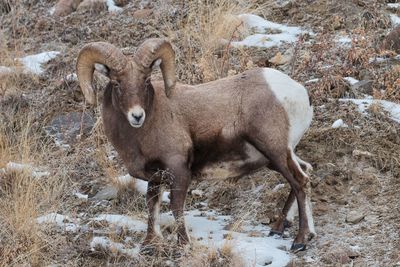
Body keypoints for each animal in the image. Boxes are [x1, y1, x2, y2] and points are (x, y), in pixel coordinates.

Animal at [77, 38, 316, 252]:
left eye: (145, 81)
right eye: (117, 83)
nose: (137, 116)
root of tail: (300, 93)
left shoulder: (179, 171)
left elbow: (176, 207)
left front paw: (183, 245)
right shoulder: (155, 178)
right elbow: (152, 206)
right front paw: (149, 245)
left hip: (275, 150)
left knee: (300, 181)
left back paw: (301, 241)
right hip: (277, 156)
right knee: (306, 170)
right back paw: (278, 228)